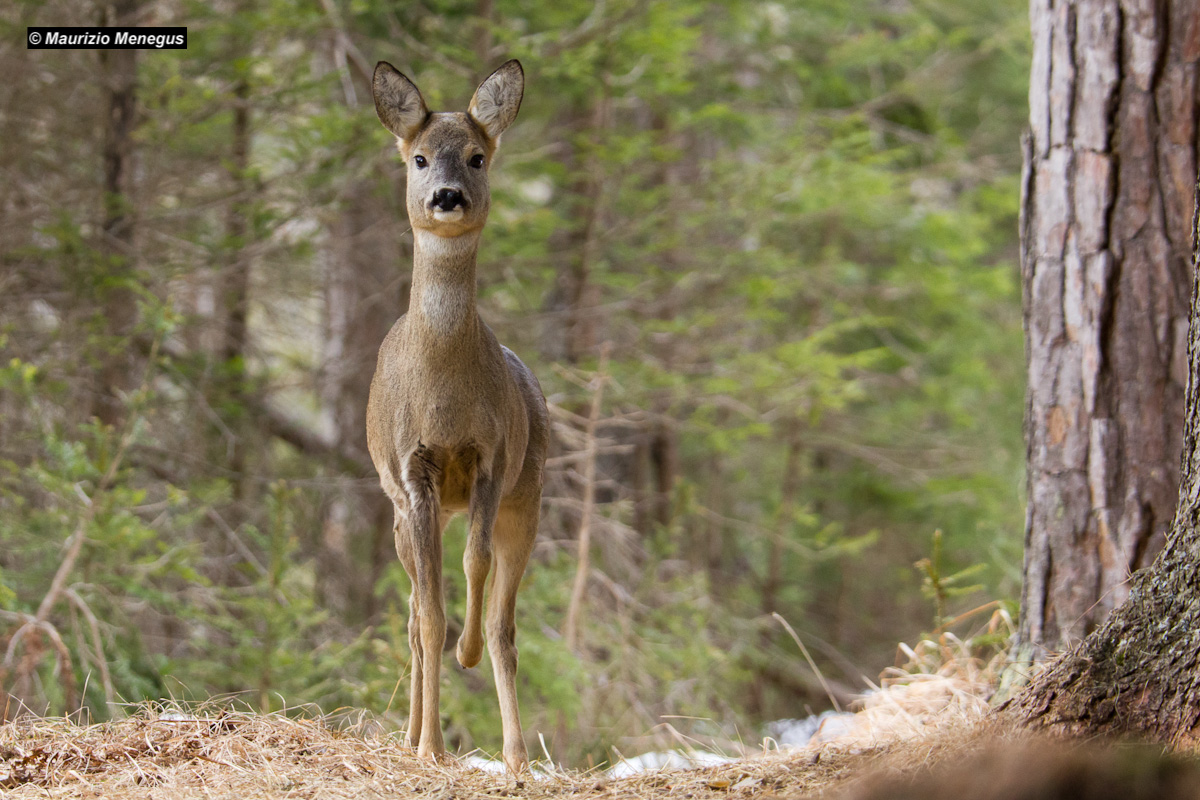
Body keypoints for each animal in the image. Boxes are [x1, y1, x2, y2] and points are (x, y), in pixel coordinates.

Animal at [365, 59, 548, 774]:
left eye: (476, 156)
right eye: (418, 157)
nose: (446, 195)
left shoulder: (491, 457)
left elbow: (474, 564)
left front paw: (464, 653)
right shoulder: (414, 470)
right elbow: (429, 614)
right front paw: (430, 747)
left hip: (529, 497)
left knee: (503, 623)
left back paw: (516, 753)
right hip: (398, 514)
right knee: (418, 619)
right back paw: (416, 736)